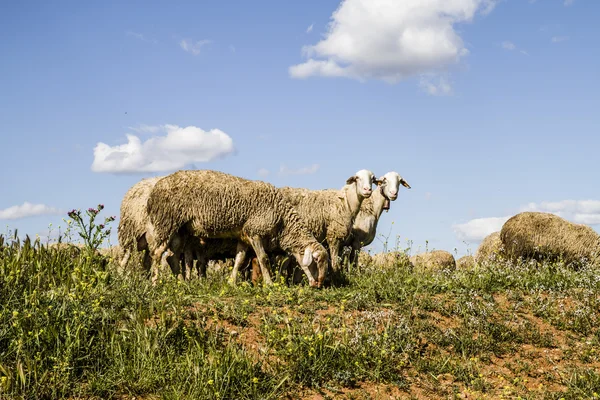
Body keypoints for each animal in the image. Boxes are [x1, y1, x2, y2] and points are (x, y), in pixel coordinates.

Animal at [146, 169, 330, 288]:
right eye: (317, 261)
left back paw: (181, 282)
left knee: (172, 257)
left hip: (180, 229)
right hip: (166, 222)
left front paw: (231, 282)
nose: (318, 284)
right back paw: (154, 284)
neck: (282, 221)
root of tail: (153, 193)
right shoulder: (255, 231)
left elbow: (239, 260)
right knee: (156, 253)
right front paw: (270, 283)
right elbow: (263, 258)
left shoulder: (244, 235)